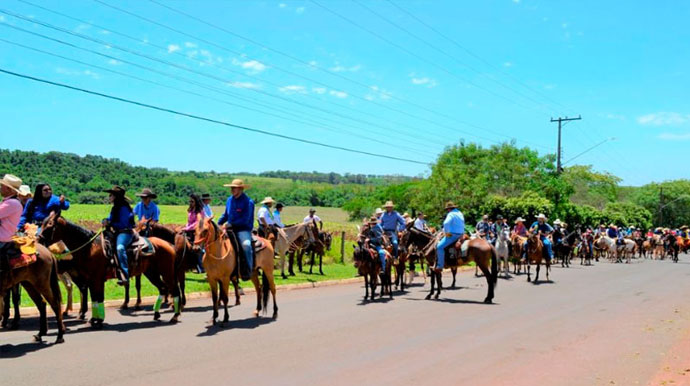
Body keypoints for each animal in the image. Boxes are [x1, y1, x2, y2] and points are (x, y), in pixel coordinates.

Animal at [38, 213, 180, 328]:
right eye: (42, 223)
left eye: (50, 225)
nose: (38, 240)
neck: (90, 248)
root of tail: (169, 244)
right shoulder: (90, 280)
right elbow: (94, 299)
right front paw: (94, 319)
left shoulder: (97, 279)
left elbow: (99, 298)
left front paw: (98, 320)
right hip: (151, 273)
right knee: (163, 288)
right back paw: (156, 313)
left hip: (166, 273)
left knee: (174, 290)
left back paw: (175, 315)